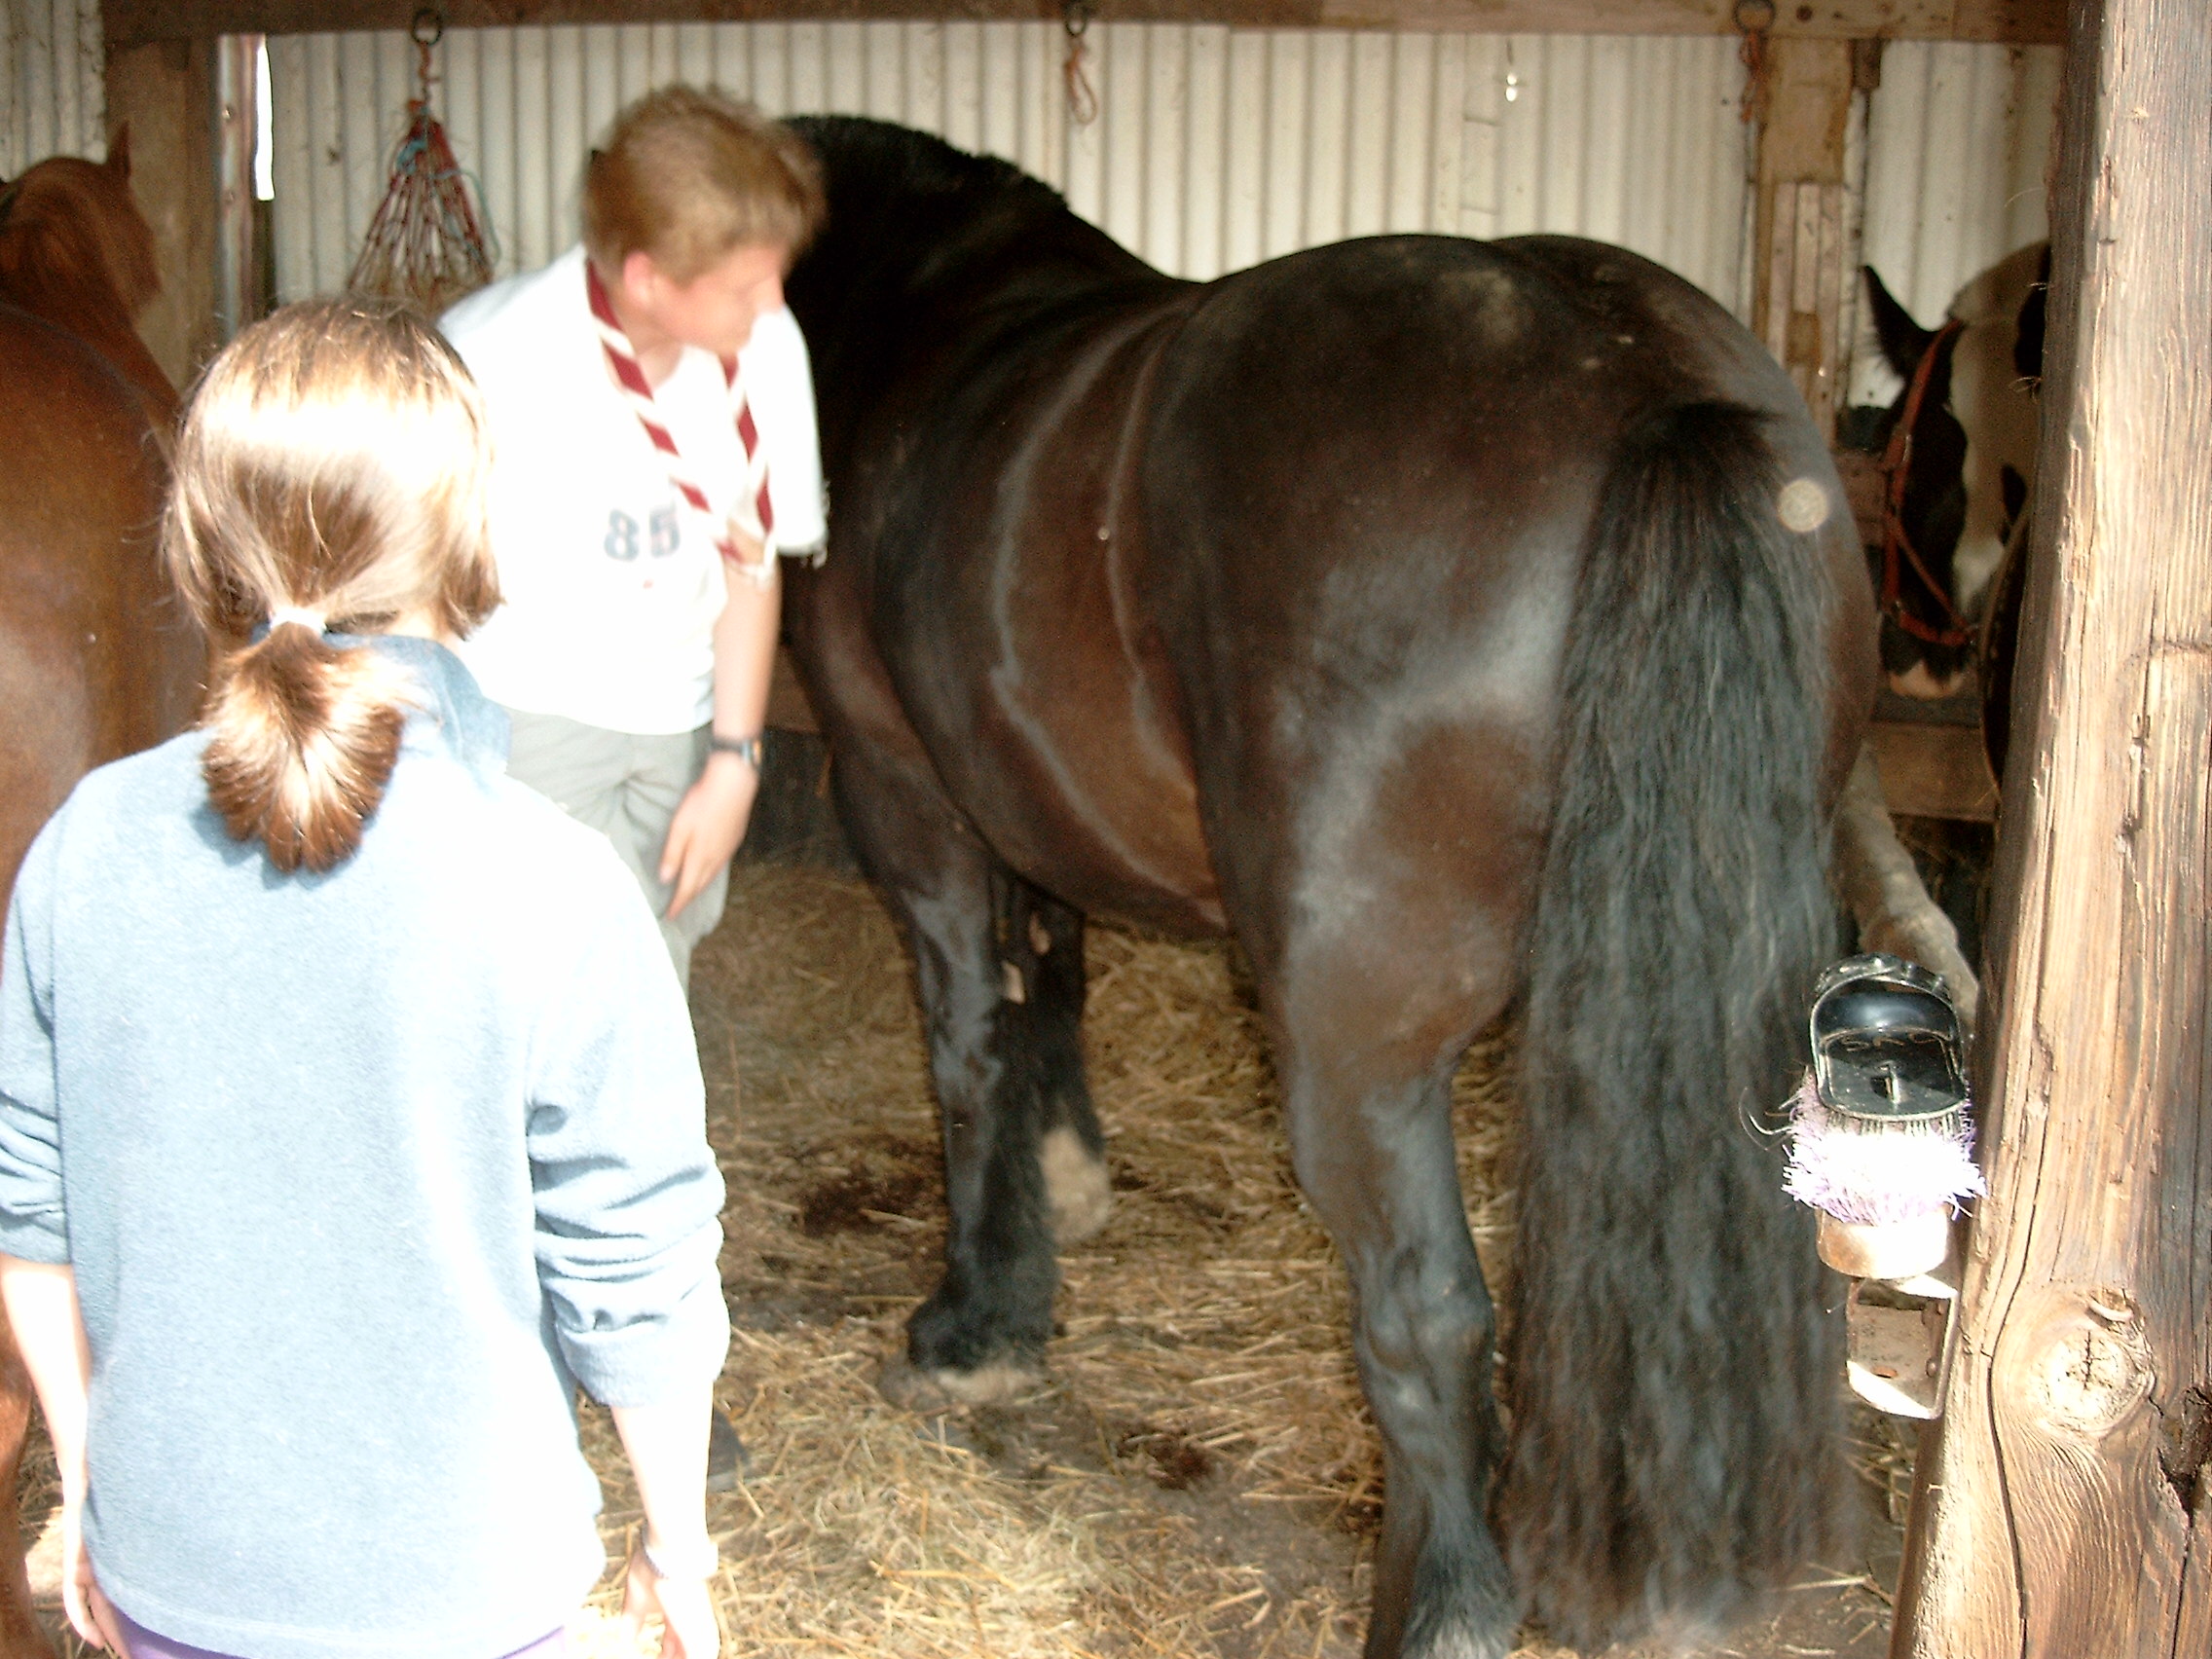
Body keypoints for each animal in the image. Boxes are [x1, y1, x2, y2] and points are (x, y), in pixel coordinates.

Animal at [778, 117, 1877, 1658]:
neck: (929, 319)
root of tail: (1641, 384)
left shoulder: (905, 793)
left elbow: (968, 1047)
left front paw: (977, 1325)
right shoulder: (1023, 799)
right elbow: (1048, 977)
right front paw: (1064, 1196)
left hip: (1355, 1049)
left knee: (1427, 1313)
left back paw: (1445, 1607)